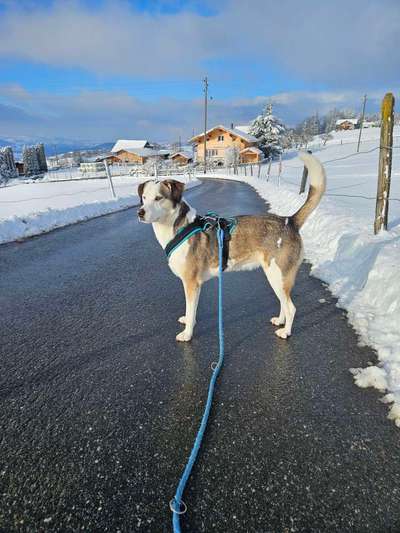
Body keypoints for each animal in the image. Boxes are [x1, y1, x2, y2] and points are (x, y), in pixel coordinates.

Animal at [138, 151, 324, 340]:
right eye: (144, 198)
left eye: (158, 198)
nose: (140, 212)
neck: (178, 225)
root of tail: (289, 221)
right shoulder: (194, 286)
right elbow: (191, 311)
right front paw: (188, 321)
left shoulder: (191, 283)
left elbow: (191, 311)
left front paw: (187, 334)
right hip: (275, 277)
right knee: (283, 303)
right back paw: (280, 321)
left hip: (278, 276)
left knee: (291, 308)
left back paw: (286, 331)